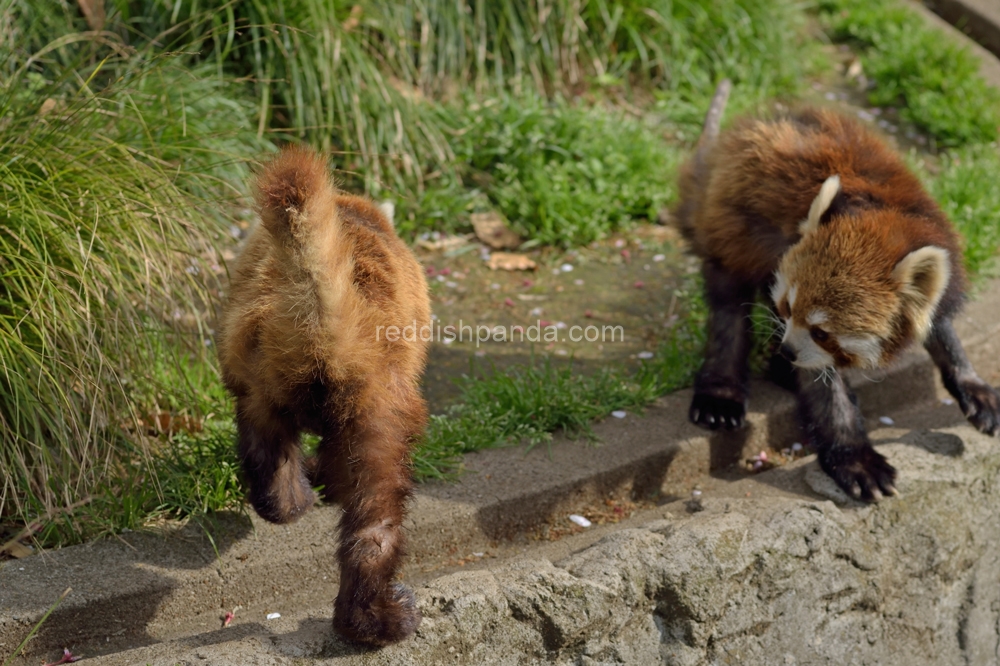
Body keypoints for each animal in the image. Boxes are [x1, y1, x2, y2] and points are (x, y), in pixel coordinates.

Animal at [219, 147, 430, 644]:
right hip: (379, 399)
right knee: (377, 507)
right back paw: (374, 619)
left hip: (257, 372)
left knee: (264, 439)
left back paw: (286, 500)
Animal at [676, 81, 1000, 498]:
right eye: (786, 307)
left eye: (822, 331)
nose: (789, 349)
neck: (883, 213)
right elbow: (825, 387)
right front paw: (855, 459)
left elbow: (940, 329)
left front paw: (973, 387)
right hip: (730, 227)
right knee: (728, 306)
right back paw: (723, 390)